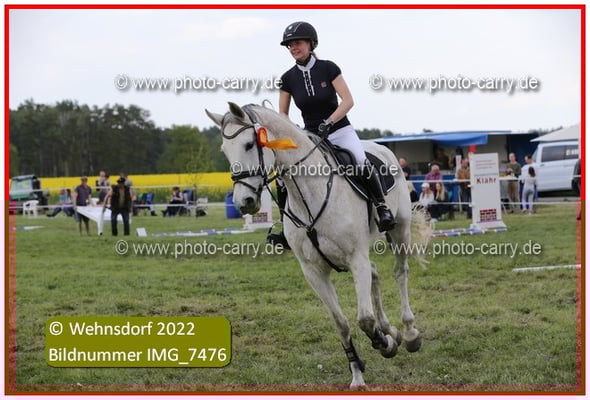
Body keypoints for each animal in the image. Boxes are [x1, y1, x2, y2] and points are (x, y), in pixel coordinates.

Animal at [206, 102, 427, 388]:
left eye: (248, 144)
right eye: (224, 150)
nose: (243, 202)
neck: (310, 193)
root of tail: (383, 149)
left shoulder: (356, 259)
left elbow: (365, 320)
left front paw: (384, 343)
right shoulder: (314, 271)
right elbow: (341, 323)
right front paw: (358, 372)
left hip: (400, 231)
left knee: (400, 273)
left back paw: (409, 334)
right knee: (376, 273)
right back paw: (391, 330)